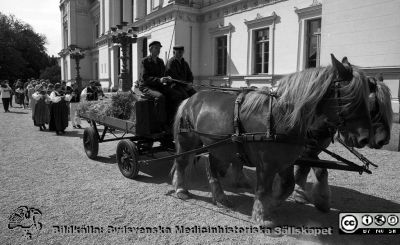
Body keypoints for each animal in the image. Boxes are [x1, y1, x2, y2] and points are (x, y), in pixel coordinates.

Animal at [170, 55, 372, 224]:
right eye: (351, 97)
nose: (365, 138)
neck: (281, 117)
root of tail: (190, 99)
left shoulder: (285, 161)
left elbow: (288, 186)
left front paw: (271, 205)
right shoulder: (266, 164)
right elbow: (263, 189)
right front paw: (261, 217)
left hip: (218, 146)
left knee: (211, 166)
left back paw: (220, 197)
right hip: (189, 141)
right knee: (181, 161)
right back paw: (181, 189)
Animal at [292, 76, 392, 211]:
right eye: (374, 107)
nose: (384, 140)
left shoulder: (313, 149)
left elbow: (310, 169)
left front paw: (312, 197)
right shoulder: (306, 149)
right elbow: (315, 170)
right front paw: (306, 195)